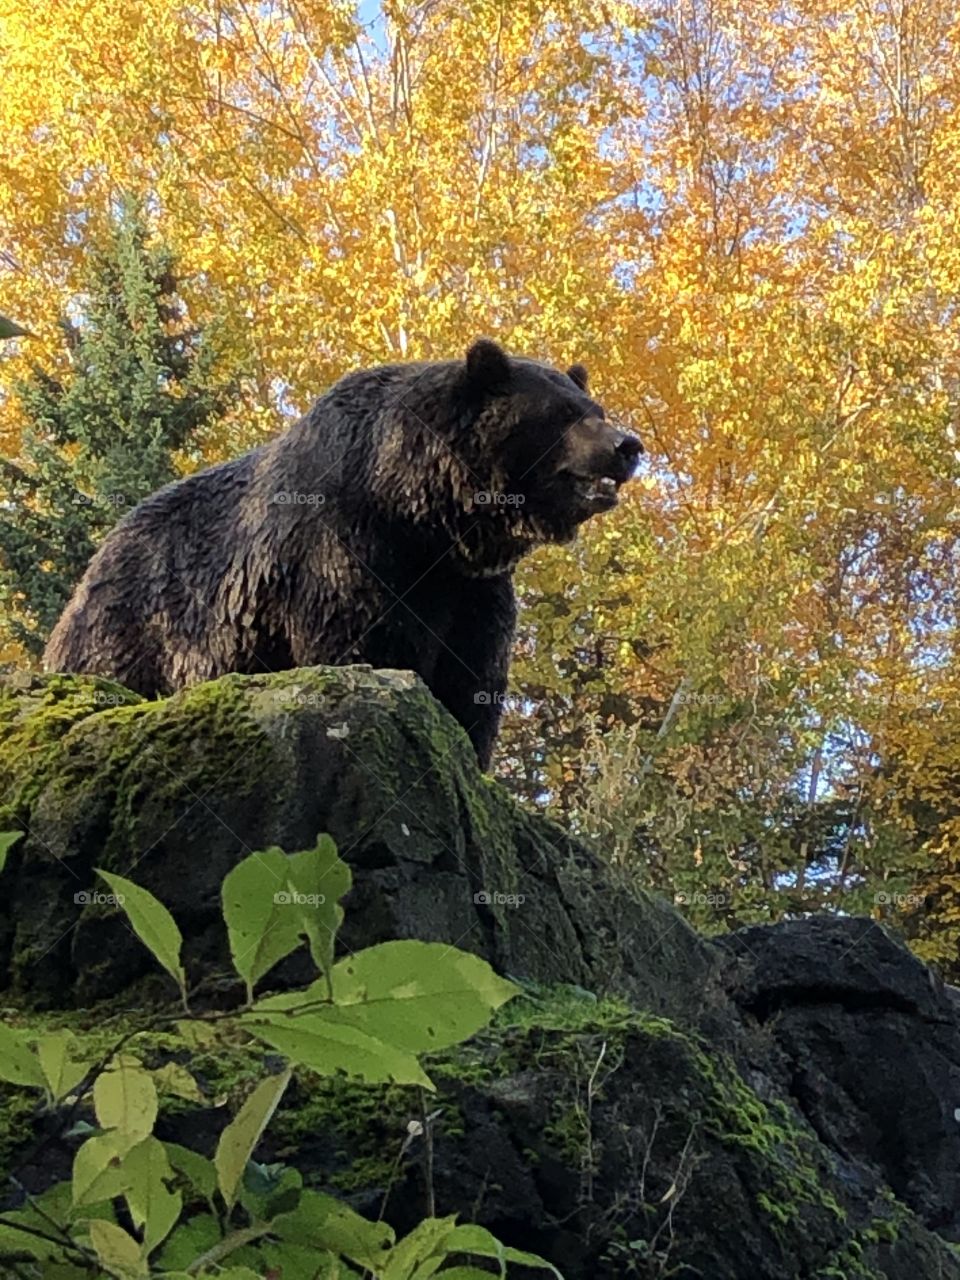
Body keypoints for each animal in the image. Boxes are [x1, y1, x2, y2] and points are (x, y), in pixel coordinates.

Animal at [47, 335, 647, 762]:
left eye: (593, 406)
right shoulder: (346, 549)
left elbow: (472, 676)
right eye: (562, 413)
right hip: (141, 624)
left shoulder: (470, 587)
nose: (628, 445)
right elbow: (366, 642)